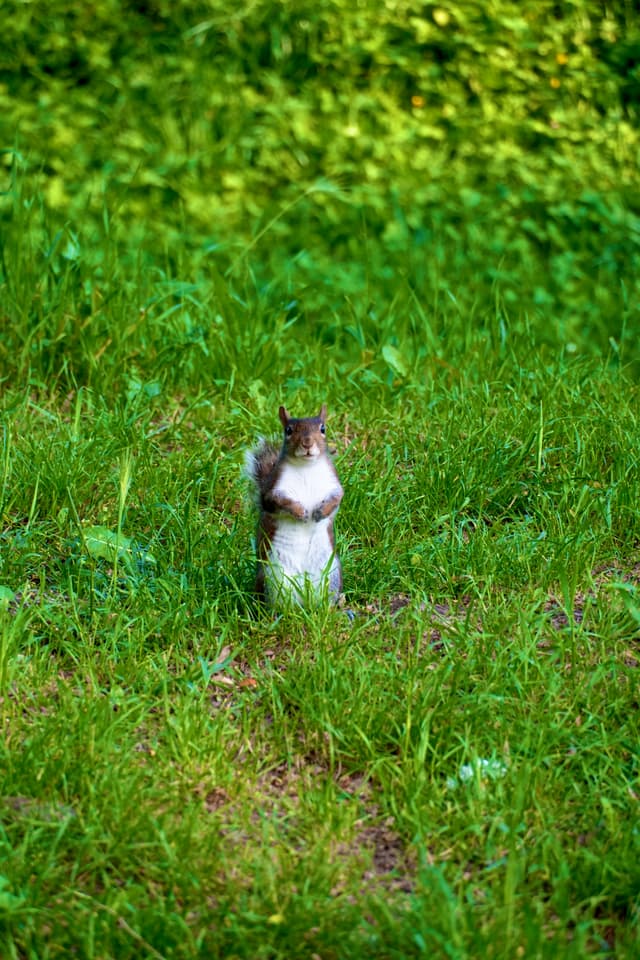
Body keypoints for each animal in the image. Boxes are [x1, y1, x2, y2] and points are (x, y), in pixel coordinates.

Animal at [245, 404, 344, 609]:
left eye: (323, 429)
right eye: (288, 430)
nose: (307, 443)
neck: (306, 468)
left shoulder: (334, 485)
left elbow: (337, 498)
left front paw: (320, 512)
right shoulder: (272, 490)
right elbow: (279, 501)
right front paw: (300, 512)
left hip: (331, 574)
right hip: (274, 577)